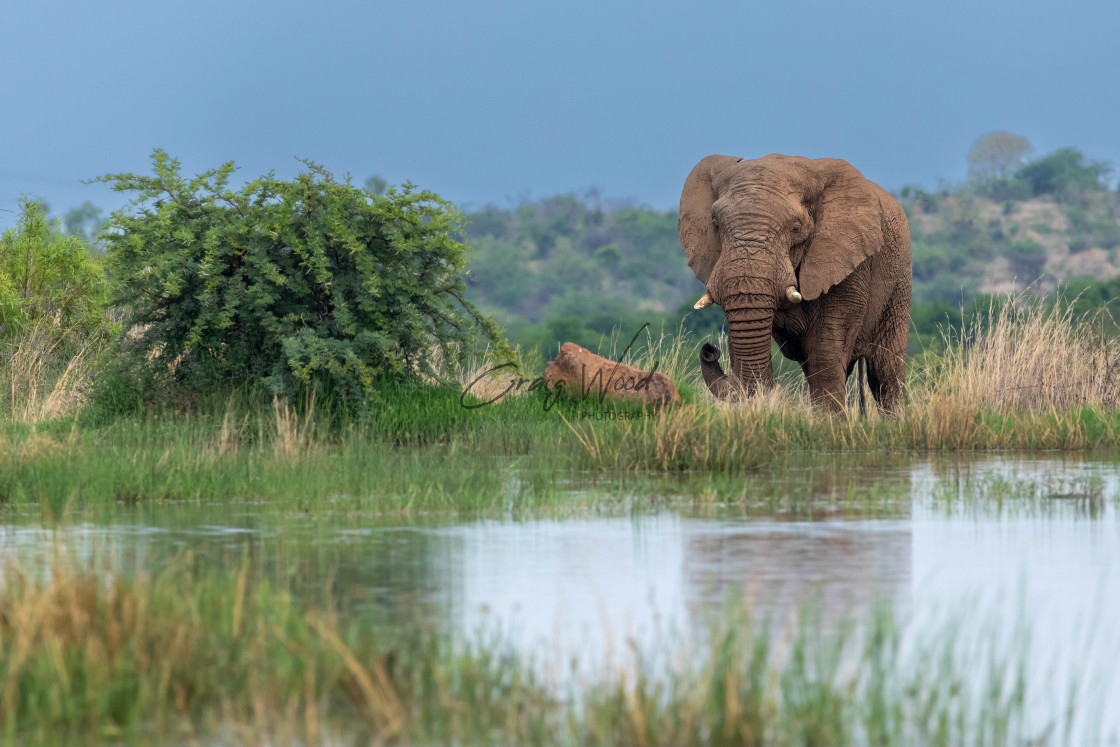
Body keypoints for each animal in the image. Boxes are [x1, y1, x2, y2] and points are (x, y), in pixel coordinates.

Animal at [676, 151, 913, 409]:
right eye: (715, 224)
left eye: (796, 228)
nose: (709, 349)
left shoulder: (848, 265)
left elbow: (824, 354)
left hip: (899, 278)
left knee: (884, 373)